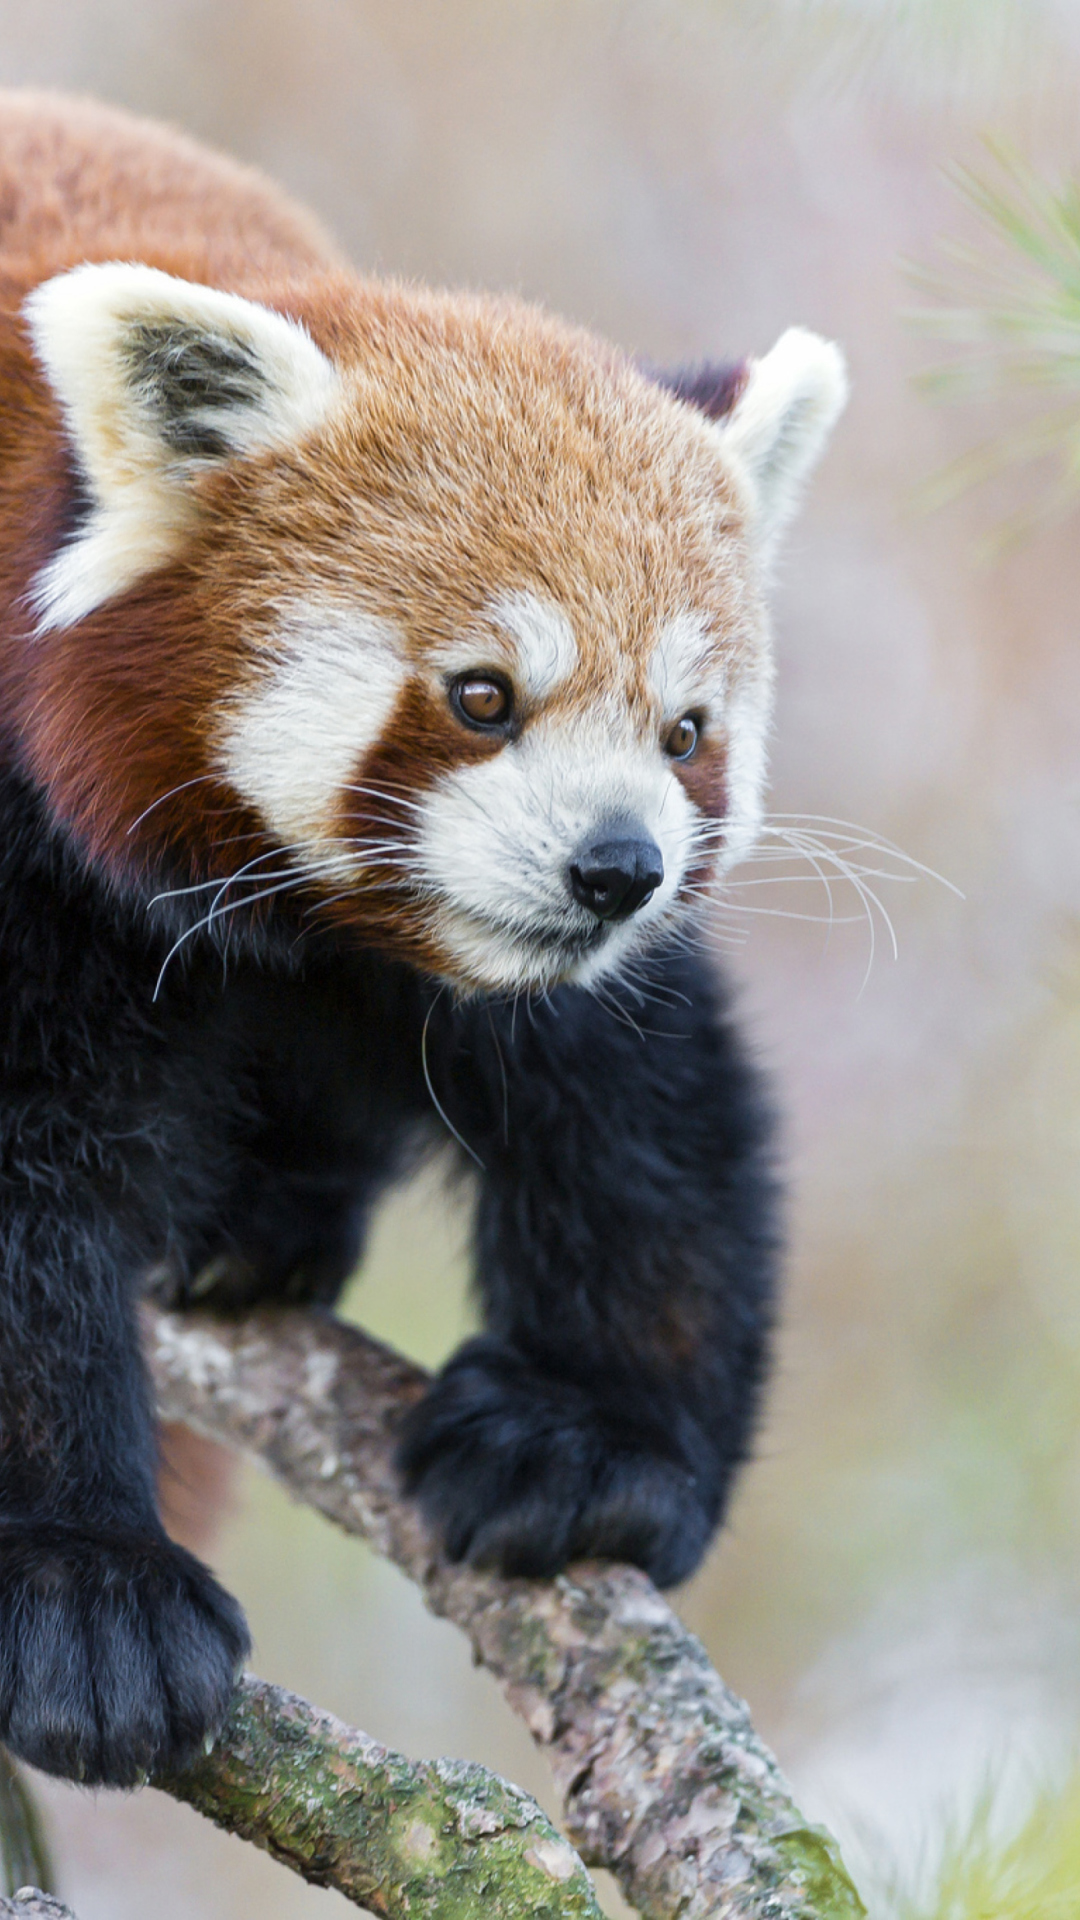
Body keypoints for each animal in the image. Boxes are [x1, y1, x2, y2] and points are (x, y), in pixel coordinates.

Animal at [0, 93, 845, 1781]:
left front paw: (590, 1439)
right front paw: (88, 1590)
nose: (617, 869)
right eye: (481, 695)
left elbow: (644, 1111)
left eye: (687, 733)